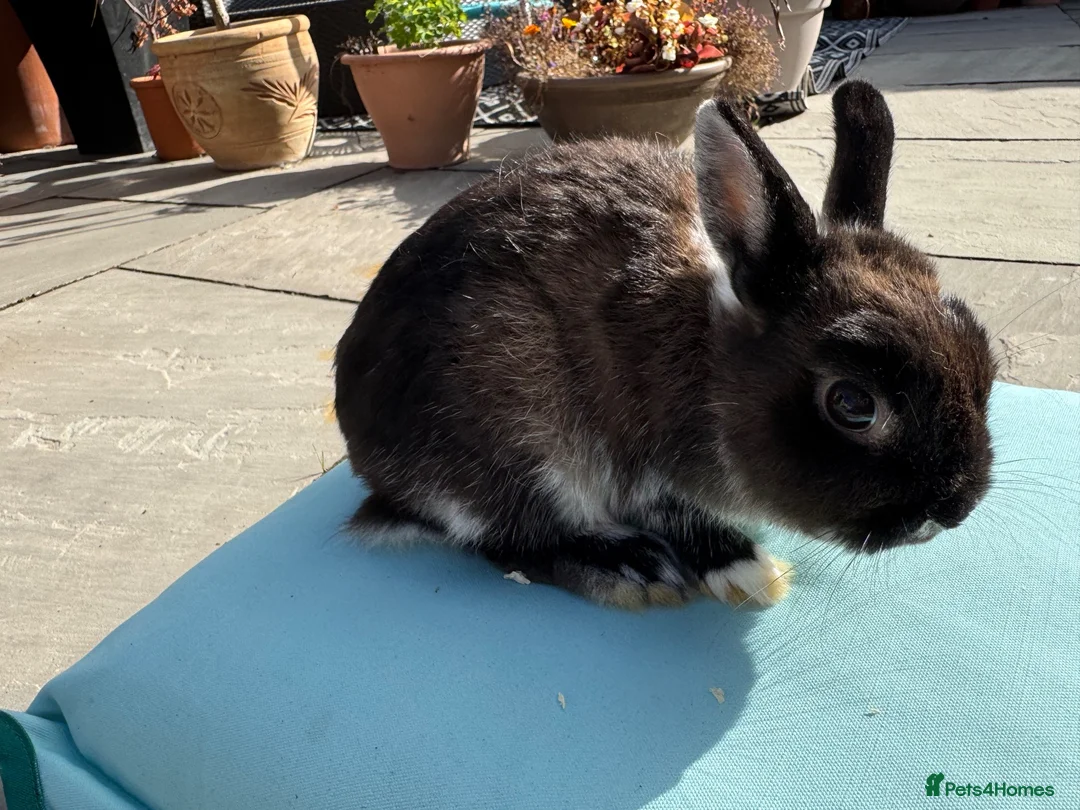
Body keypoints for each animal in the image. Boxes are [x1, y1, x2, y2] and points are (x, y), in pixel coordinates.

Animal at [333, 80, 997, 610]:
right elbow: (677, 516)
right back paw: (631, 568)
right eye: (853, 404)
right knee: (509, 539)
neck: (709, 357)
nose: (955, 507)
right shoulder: (644, 467)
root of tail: (379, 476)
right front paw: (751, 573)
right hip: (514, 439)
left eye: (983, 360)